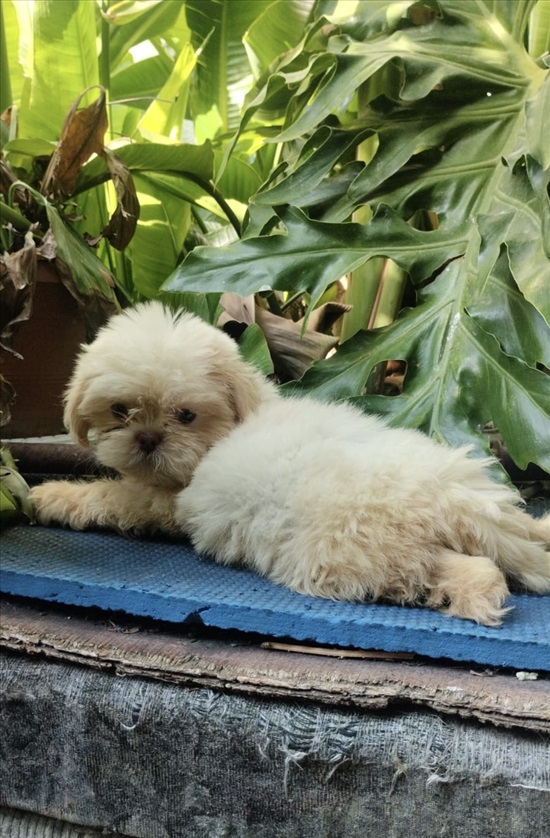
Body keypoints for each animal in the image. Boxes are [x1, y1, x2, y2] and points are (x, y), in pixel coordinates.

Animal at [31, 302, 550, 624]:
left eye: (186, 415)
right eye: (120, 411)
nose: (147, 440)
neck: (239, 418)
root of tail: (452, 494)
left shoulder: (163, 501)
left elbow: (110, 495)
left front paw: (49, 496)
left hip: (346, 551)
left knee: (469, 569)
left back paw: (470, 597)